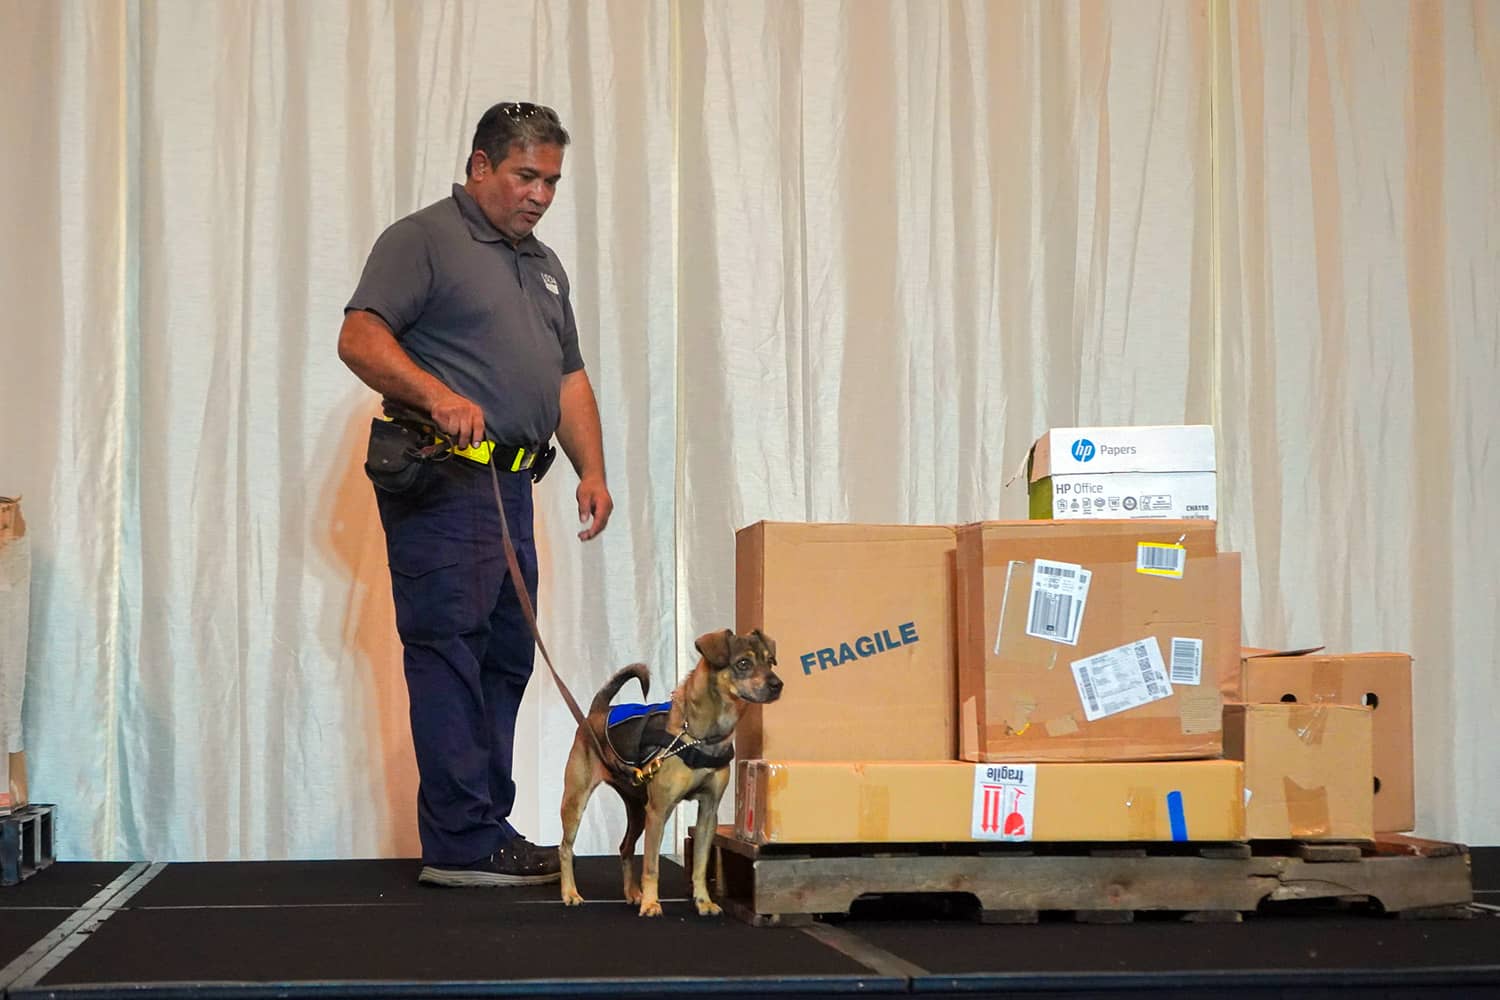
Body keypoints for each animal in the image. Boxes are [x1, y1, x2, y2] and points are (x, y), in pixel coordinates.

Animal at [555, 629, 786, 917]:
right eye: (743, 663)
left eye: (770, 662)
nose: (778, 684)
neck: (699, 736)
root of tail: (596, 712)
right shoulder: (660, 810)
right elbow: (652, 866)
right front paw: (651, 903)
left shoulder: (708, 811)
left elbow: (700, 864)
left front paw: (703, 901)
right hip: (577, 801)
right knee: (566, 847)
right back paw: (570, 893)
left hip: (638, 809)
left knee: (625, 847)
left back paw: (632, 893)